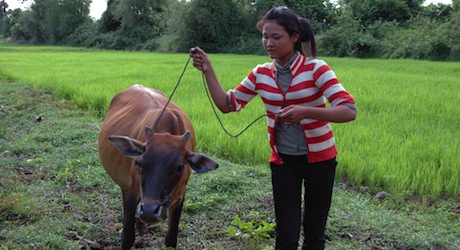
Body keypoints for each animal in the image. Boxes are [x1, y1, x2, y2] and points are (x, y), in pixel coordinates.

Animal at [99, 84, 217, 248]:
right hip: (126, 186)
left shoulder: (179, 198)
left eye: (179, 167)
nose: (149, 211)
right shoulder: (134, 191)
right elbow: (127, 237)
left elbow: (171, 240)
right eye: (139, 163)